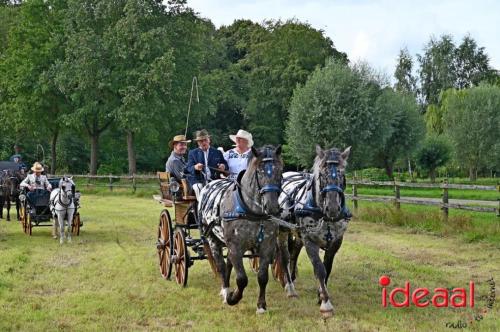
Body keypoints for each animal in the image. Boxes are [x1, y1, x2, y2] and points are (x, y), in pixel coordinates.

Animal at [200, 145, 286, 314]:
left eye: (280, 171)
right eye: (259, 171)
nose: (272, 207)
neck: (252, 212)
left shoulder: (267, 246)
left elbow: (262, 277)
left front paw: (261, 305)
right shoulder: (236, 246)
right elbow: (241, 279)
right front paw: (232, 298)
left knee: (228, 264)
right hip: (213, 239)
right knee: (221, 265)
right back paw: (225, 290)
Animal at [278, 145, 352, 316]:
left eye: (342, 173)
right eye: (322, 174)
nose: (333, 208)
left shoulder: (335, 243)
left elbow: (327, 268)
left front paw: (320, 294)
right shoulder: (310, 240)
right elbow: (319, 269)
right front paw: (325, 303)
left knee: (294, 253)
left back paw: (292, 277)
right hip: (282, 231)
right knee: (285, 257)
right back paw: (290, 287)